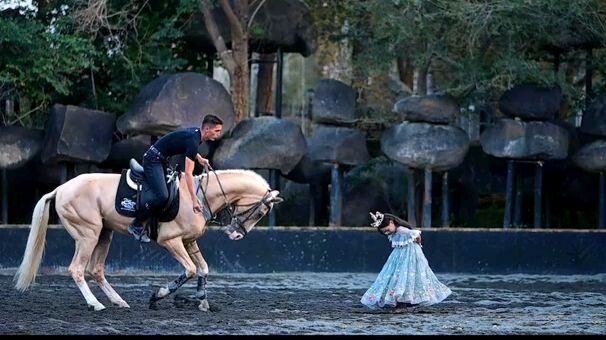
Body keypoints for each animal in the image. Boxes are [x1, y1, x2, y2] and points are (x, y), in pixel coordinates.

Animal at [11, 169, 282, 310]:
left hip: (103, 235)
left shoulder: (189, 242)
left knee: (96, 270)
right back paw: (95, 304)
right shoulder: (171, 241)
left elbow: (203, 269)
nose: (235, 234)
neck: (197, 197)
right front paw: (159, 295)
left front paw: (202, 302)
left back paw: (118, 301)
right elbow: (190, 270)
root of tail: (60, 189)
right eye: (261, 212)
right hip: (88, 235)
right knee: (77, 269)